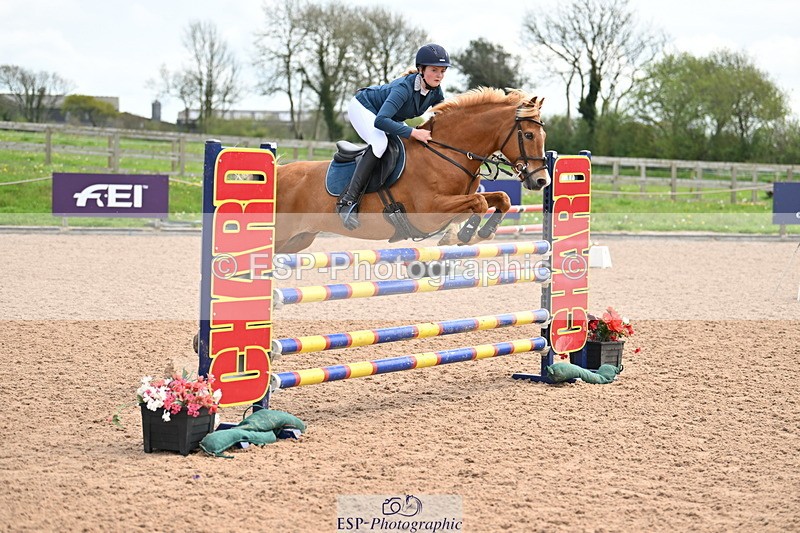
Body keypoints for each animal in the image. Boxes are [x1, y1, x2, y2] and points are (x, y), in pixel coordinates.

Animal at [274, 88, 549, 254]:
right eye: (528, 135)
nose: (541, 181)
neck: (447, 153)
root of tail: (279, 173)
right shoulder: (430, 212)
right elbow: (480, 202)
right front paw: (465, 235)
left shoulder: (459, 200)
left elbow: (501, 198)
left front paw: (481, 233)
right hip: (283, 234)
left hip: (298, 239)